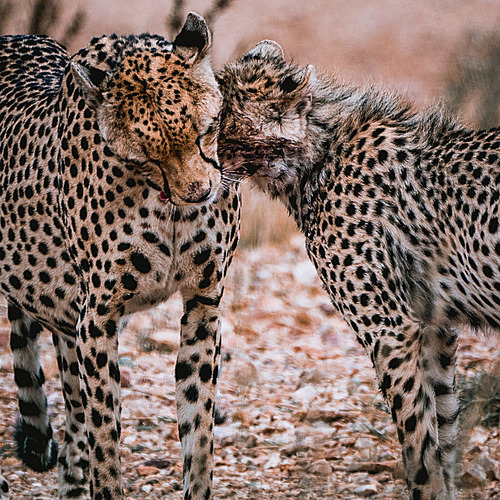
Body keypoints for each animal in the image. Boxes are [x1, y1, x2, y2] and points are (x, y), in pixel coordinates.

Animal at [0, 11, 240, 500]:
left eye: (206, 130)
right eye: (148, 154)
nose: (200, 192)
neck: (168, 206)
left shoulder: (203, 303)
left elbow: (198, 428)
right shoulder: (98, 318)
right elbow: (105, 433)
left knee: (72, 409)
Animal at [219, 40, 500, 500]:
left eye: (216, 122)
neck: (319, 155)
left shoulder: (391, 330)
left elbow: (419, 447)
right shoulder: (434, 327)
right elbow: (442, 428)